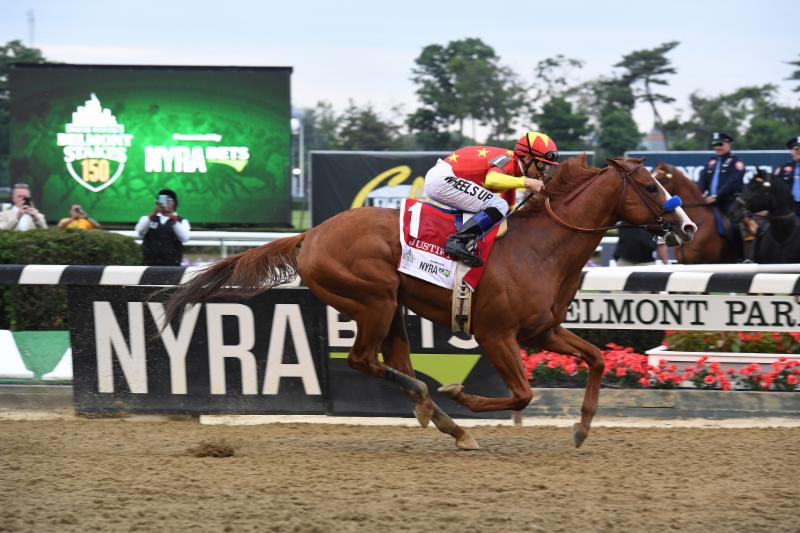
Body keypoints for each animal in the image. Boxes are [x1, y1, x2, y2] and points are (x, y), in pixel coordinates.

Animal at [161, 157, 692, 448]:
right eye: (651, 186)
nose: (686, 227)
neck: (538, 248)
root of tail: (310, 233)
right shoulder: (494, 333)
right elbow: (522, 393)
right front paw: (460, 393)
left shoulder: (543, 330)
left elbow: (598, 359)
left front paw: (581, 429)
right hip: (372, 299)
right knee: (364, 360)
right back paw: (430, 401)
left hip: (392, 306)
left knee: (390, 360)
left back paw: (444, 421)